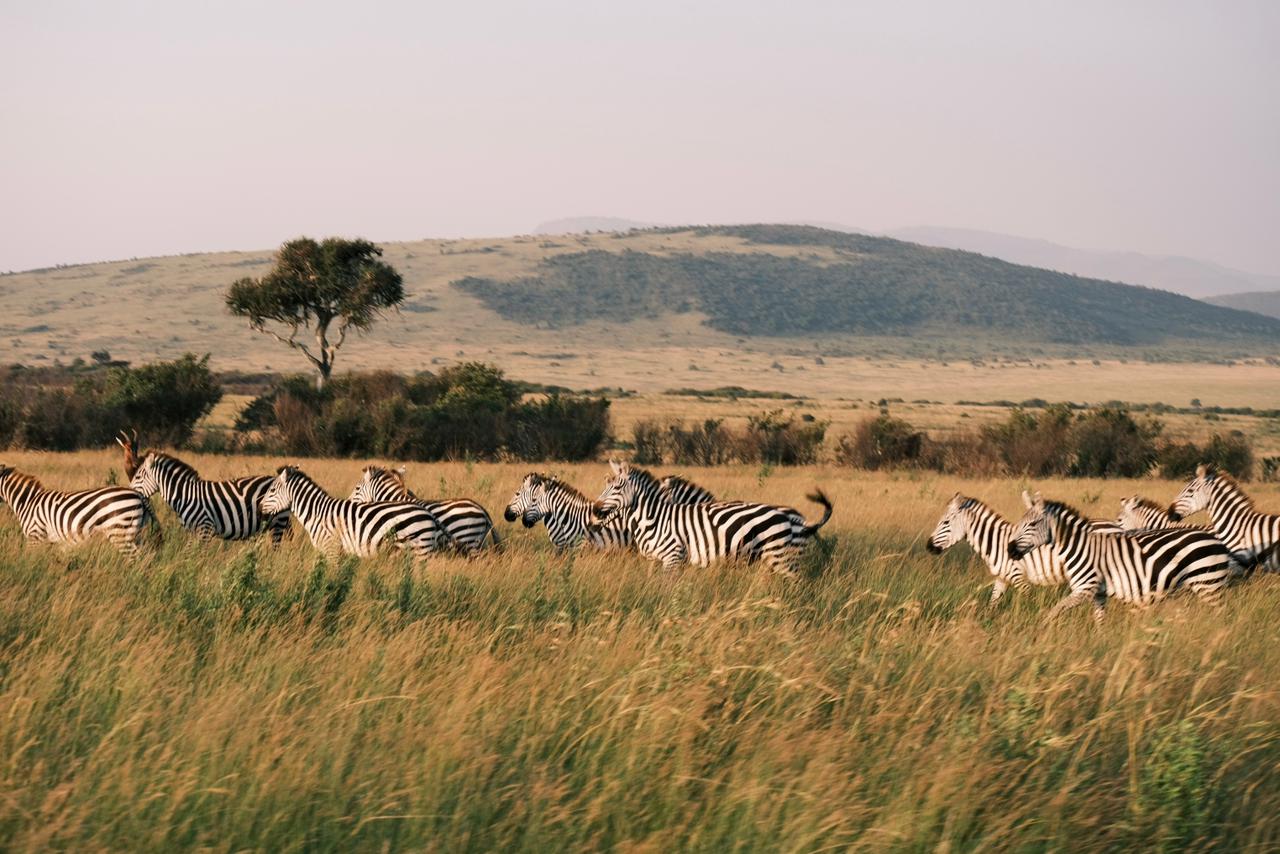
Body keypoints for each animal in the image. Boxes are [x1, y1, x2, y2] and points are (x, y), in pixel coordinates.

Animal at [0, 464, 152, 557]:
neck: (27, 501)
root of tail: (138, 494)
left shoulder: (35, 535)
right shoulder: (53, 541)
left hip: (119, 533)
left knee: (134, 558)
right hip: (134, 533)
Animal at [126, 447, 290, 543]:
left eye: (138, 477)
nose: (129, 493)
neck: (186, 495)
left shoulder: (205, 528)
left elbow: (201, 557)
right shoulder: (191, 532)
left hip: (278, 523)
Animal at [260, 466, 444, 562]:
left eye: (272, 490)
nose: (260, 507)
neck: (317, 513)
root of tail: (428, 513)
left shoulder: (331, 549)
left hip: (421, 551)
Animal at [590, 460, 832, 575]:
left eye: (617, 487)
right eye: (606, 486)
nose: (594, 511)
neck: (655, 518)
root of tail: (793, 518)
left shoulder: (673, 557)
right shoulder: (656, 559)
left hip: (782, 558)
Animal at [1009, 490, 1243, 621]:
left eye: (1032, 524)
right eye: (1021, 523)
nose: (1010, 550)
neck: (1078, 548)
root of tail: (1218, 541)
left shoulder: (1084, 589)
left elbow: (1054, 611)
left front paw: (1041, 631)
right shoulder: (1098, 594)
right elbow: (1100, 621)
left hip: (1208, 584)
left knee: (1221, 615)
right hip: (1204, 585)